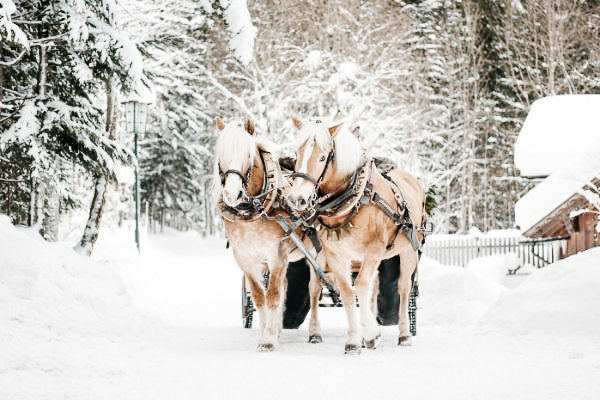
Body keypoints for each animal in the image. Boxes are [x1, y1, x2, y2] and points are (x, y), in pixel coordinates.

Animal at [212, 115, 322, 350]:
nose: (231, 194)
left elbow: (272, 296)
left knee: (314, 290)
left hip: (315, 254)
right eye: (221, 155)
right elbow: (259, 297)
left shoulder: (276, 254)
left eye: (247, 155)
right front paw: (267, 332)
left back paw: (315, 332)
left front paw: (269, 339)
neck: (252, 212)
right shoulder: (246, 259)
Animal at [286, 117, 426, 354]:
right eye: (297, 154)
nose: (297, 199)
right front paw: (354, 340)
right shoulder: (336, 254)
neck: (355, 199)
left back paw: (405, 334)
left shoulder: (374, 249)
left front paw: (371, 334)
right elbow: (348, 292)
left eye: (322, 157)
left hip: (409, 250)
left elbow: (360, 286)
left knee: (404, 288)